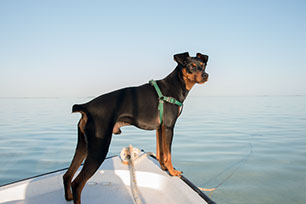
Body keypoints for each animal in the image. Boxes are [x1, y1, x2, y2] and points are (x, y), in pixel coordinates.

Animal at [63, 51, 209, 203]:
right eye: (191, 66)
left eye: (203, 65)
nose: (205, 75)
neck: (176, 85)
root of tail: (86, 106)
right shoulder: (169, 126)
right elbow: (168, 153)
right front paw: (172, 171)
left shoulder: (160, 128)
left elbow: (161, 152)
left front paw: (163, 167)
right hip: (99, 148)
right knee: (77, 183)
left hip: (83, 144)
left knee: (67, 175)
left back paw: (68, 197)